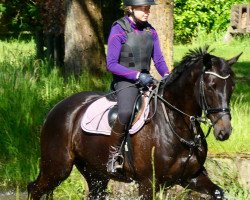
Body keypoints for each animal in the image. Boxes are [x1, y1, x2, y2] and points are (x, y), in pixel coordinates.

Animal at [26, 46, 242, 199]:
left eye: (232, 86)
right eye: (211, 86)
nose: (225, 131)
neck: (175, 124)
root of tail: (56, 108)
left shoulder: (193, 177)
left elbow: (218, 193)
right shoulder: (148, 183)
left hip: (95, 173)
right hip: (57, 168)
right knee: (33, 189)